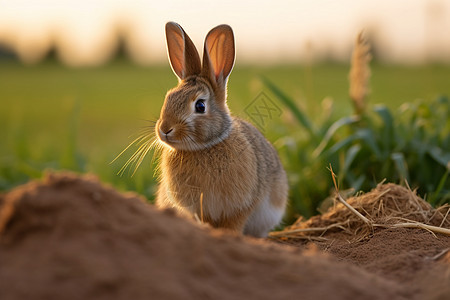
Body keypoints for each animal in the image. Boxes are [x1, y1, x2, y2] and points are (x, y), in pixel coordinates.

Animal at [155, 21, 288, 237]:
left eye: (200, 106)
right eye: (168, 98)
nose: (165, 129)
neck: (204, 148)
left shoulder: (241, 206)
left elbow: (234, 223)